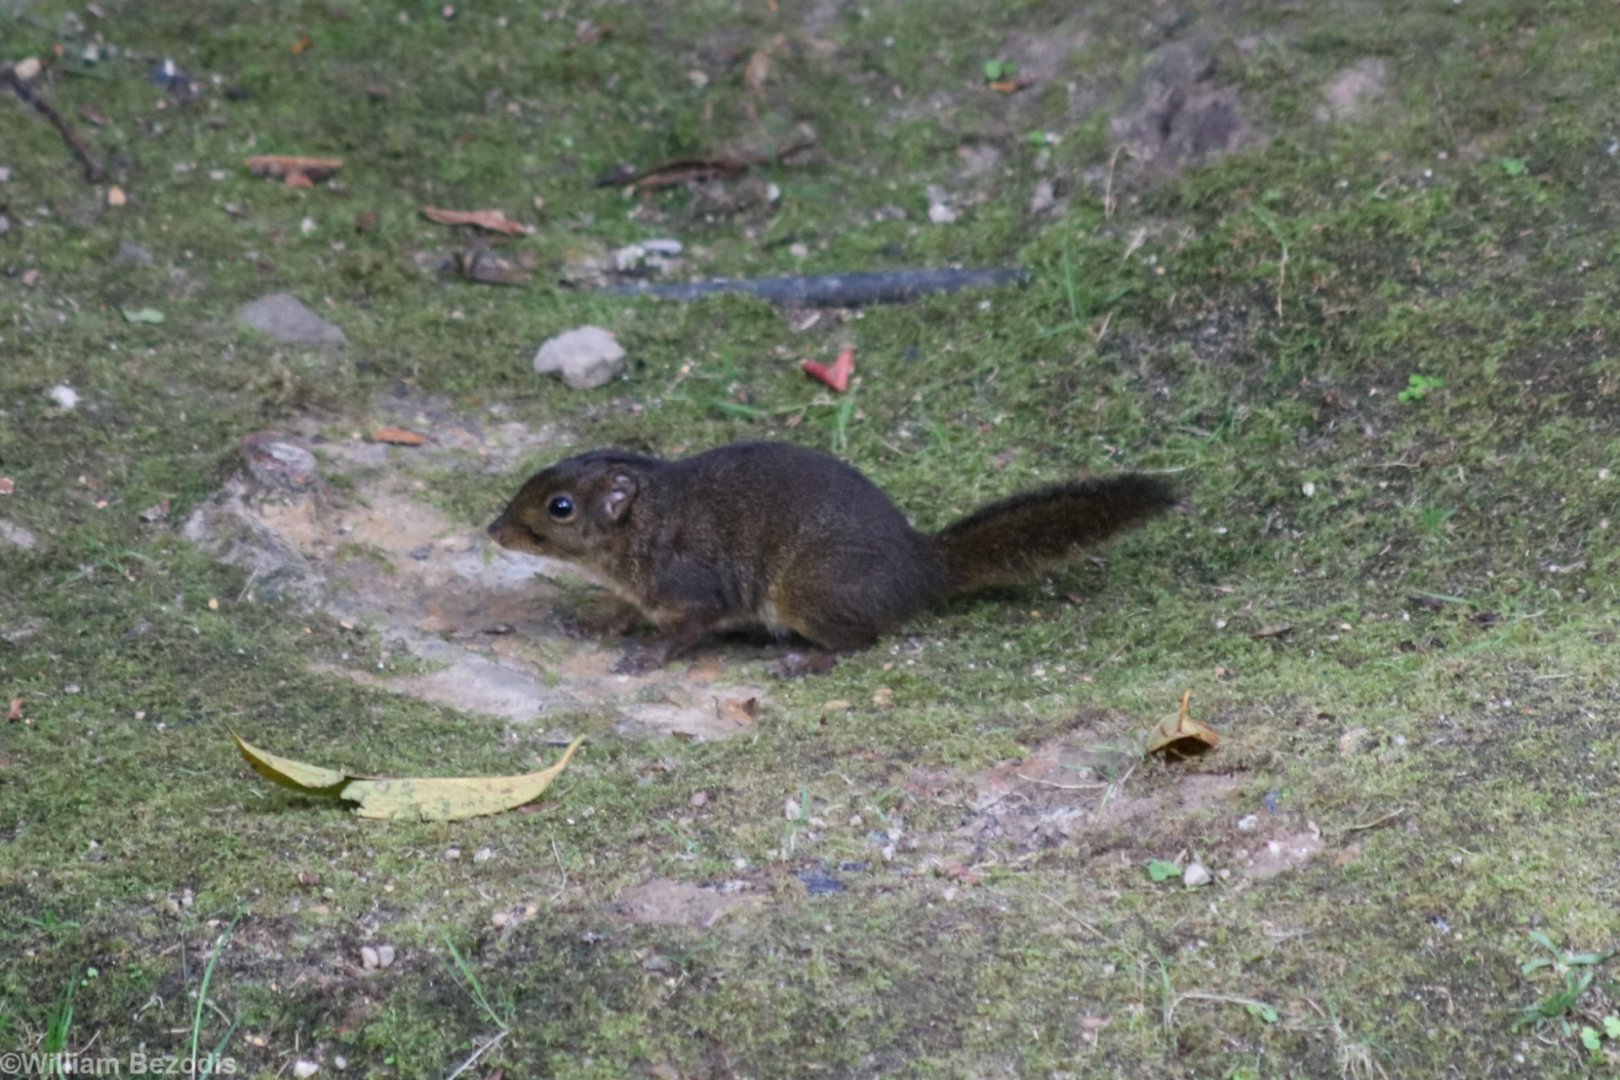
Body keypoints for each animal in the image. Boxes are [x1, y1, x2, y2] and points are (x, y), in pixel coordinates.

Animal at [488, 441, 1176, 672]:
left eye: (559, 508)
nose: (494, 530)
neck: (641, 530)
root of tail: (921, 567)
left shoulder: (693, 588)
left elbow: (685, 629)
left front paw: (648, 655)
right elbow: (619, 610)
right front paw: (591, 622)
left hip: (806, 591)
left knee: (863, 639)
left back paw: (806, 661)